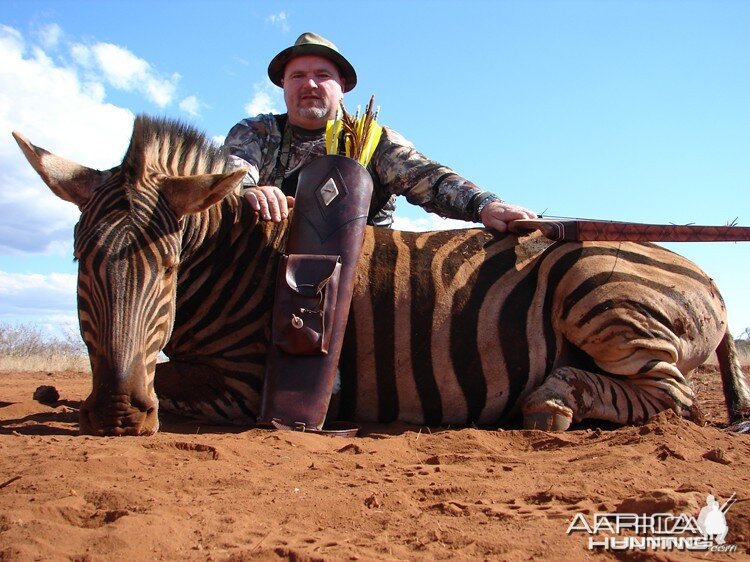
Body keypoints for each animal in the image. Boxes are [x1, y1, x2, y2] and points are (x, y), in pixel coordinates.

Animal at [13, 116, 750, 436]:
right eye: (80, 265)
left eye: (168, 269)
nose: (116, 415)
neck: (228, 261)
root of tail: (705, 274)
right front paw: (59, 395)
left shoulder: (244, 381)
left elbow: (166, 377)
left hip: (596, 289)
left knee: (676, 395)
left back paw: (552, 401)